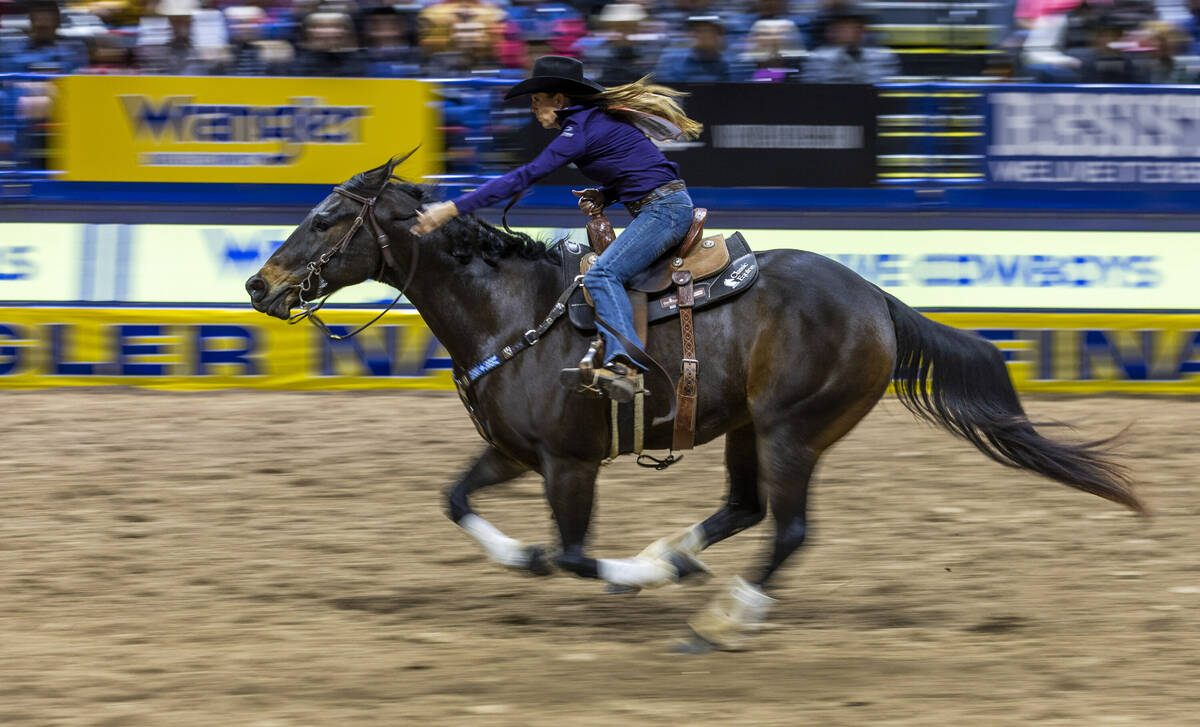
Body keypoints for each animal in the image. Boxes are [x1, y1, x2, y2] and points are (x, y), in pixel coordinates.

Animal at [243, 160, 1142, 657]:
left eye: (325, 217)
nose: (258, 283)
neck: (512, 311)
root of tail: (878, 299)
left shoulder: (568, 463)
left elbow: (574, 554)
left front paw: (614, 574)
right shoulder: (513, 451)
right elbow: (456, 498)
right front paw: (534, 557)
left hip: (790, 429)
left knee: (788, 529)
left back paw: (715, 618)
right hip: (747, 427)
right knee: (744, 508)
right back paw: (675, 556)